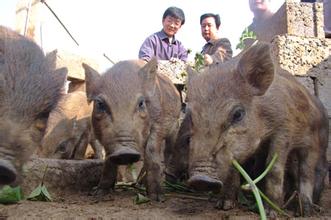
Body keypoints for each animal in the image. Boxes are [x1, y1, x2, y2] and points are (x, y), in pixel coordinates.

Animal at [82, 58, 182, 201]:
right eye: (100, 104)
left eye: (141, 103)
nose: (125, 153)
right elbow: (108, 158)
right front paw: (97, 193)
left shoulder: (159, 125)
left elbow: (152, 153)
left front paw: (157, 198)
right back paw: (139, 184)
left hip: (175, 128)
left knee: (167, 152)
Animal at [184, 41, 330, 217]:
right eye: (191, 117)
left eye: (238, 114)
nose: (200, 180)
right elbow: (234, 169)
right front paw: (223, 205)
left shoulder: (283, 130)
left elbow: (274, 168)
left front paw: (270, 213)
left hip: (318, 143)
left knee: (310, 171)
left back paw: (305, 211)